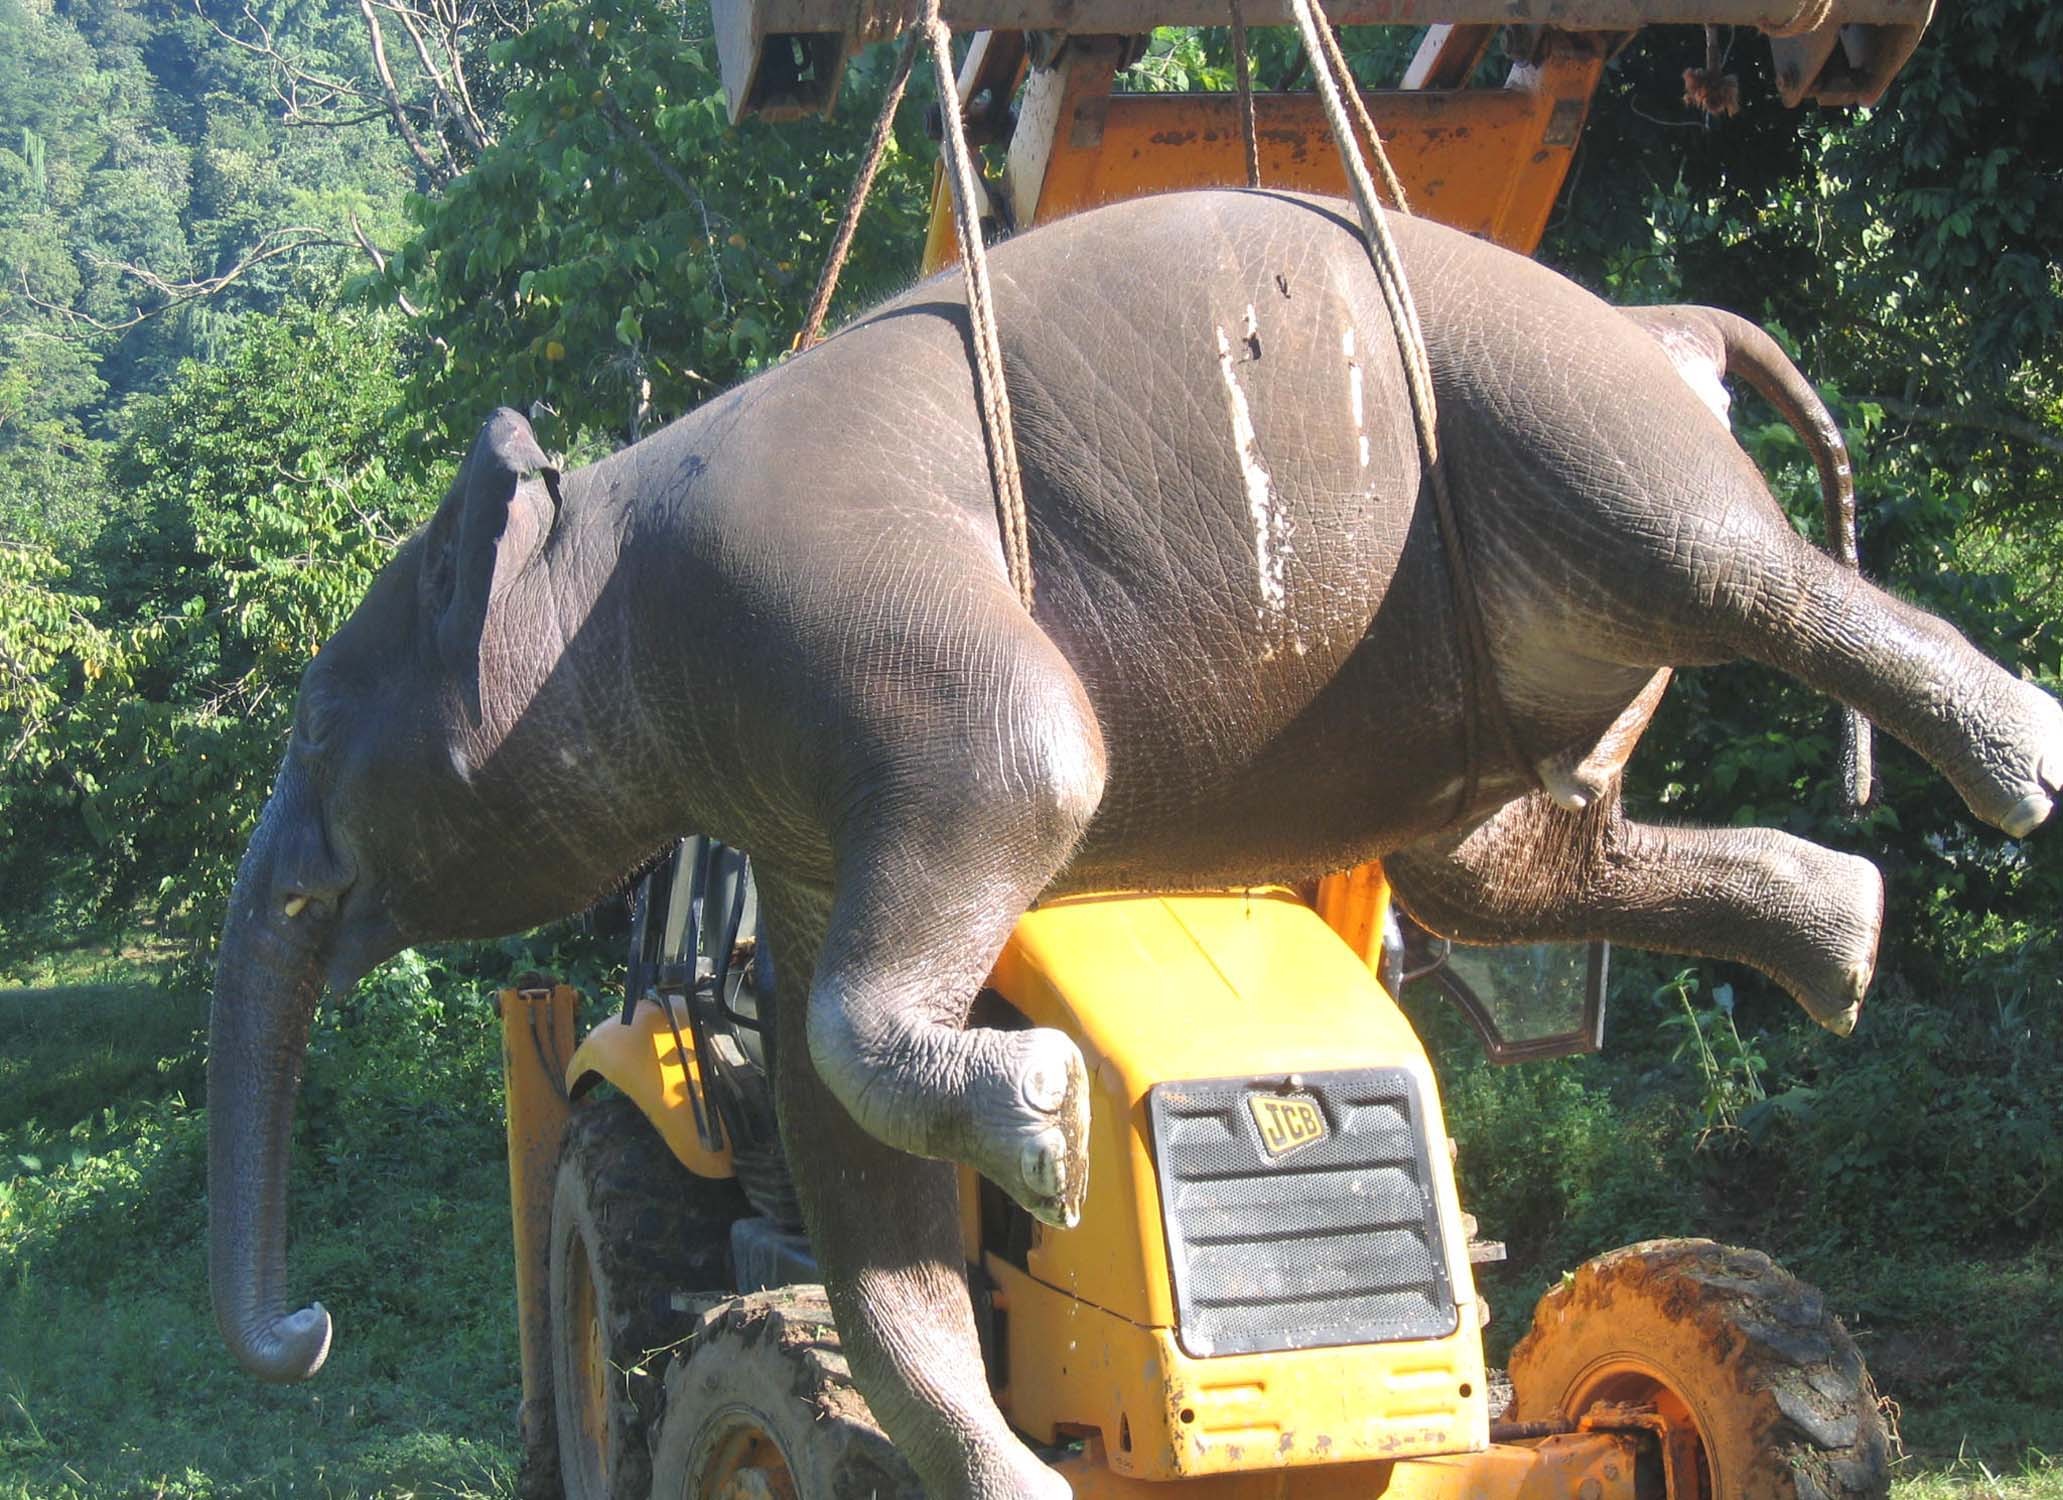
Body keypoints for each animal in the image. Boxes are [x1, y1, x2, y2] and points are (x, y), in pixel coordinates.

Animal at [208, 189, 2063, 1500]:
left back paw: (2003, 785)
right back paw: (1849, 933)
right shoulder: (798, 809)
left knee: (1718, 585)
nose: (301, 1337)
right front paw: (1037, 1183)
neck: (602, 532)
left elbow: (1032, 766)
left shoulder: (829, 619)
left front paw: (1034, 1127)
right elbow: (844, 1155)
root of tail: (1667, 326)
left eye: (312, 735)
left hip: (1569, 424)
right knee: (1501, 857)